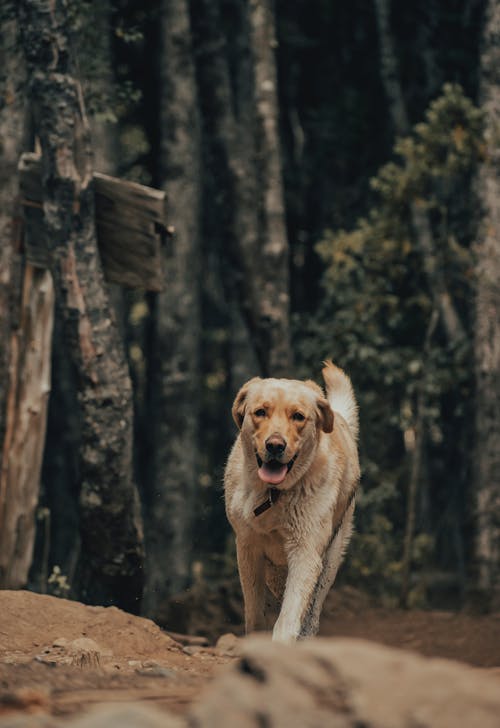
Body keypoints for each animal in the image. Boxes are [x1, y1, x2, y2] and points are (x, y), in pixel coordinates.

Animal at [224, 360, 360, 644]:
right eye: (260, 412)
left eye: (298, 416)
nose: (275, 445)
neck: (273, 495)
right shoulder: (248, 547)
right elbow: (255, 612)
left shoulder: (306, 550)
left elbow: (291, 614)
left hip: (330, 558)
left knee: (312, 610)